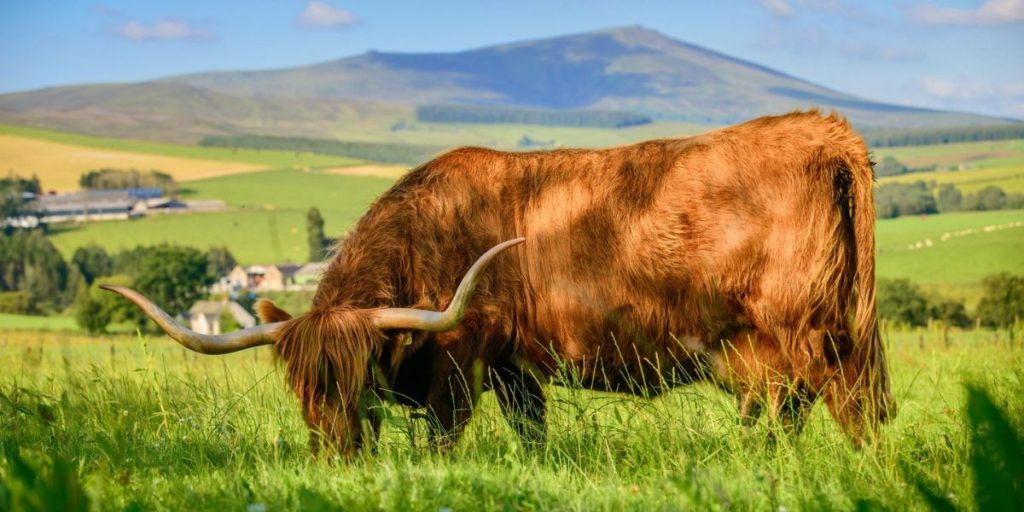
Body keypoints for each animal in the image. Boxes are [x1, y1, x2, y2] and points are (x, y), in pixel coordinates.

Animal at [104, 110, 894, 455]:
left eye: (357, 376)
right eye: (300, 383)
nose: (336, 454)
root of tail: (823, 128)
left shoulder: (461, 361)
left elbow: (443, 438)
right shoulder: (517, 368)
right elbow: (531, 432)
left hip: (811, 331)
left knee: (845, 408)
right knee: (791, 411)